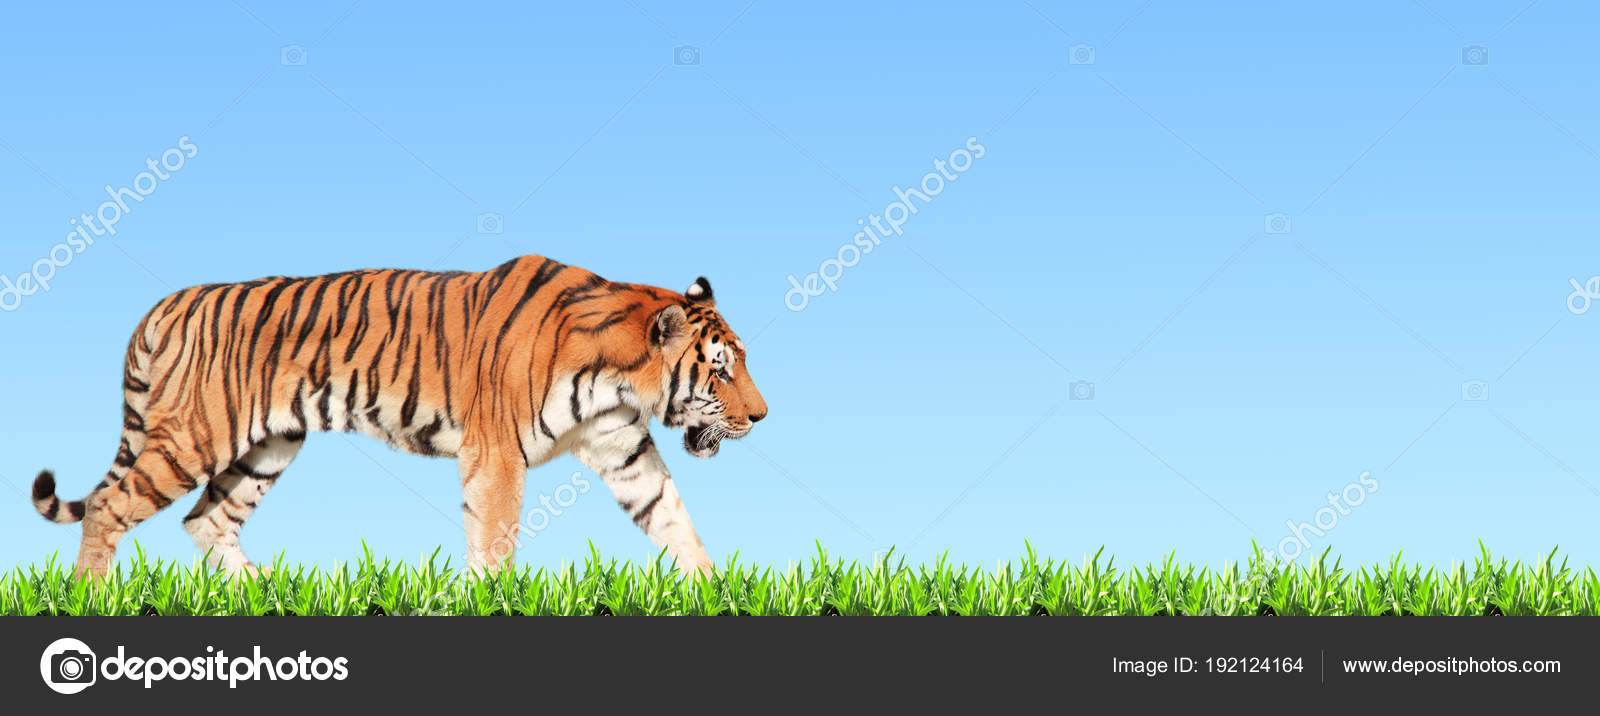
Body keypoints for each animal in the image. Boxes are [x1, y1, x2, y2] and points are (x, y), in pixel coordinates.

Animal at [30, 255, 767, 578]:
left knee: (206, 518)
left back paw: (262, 593)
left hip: (268, 446)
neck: (620, 382)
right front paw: (494, 597)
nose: (761, 416)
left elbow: (674, 522)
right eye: (721, 371)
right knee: (110, 505)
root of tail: (169, 303)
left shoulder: (623, 451)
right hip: (194, 437)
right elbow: (494, 540)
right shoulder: (497, 456)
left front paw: (712, 592)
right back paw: (92, 595)